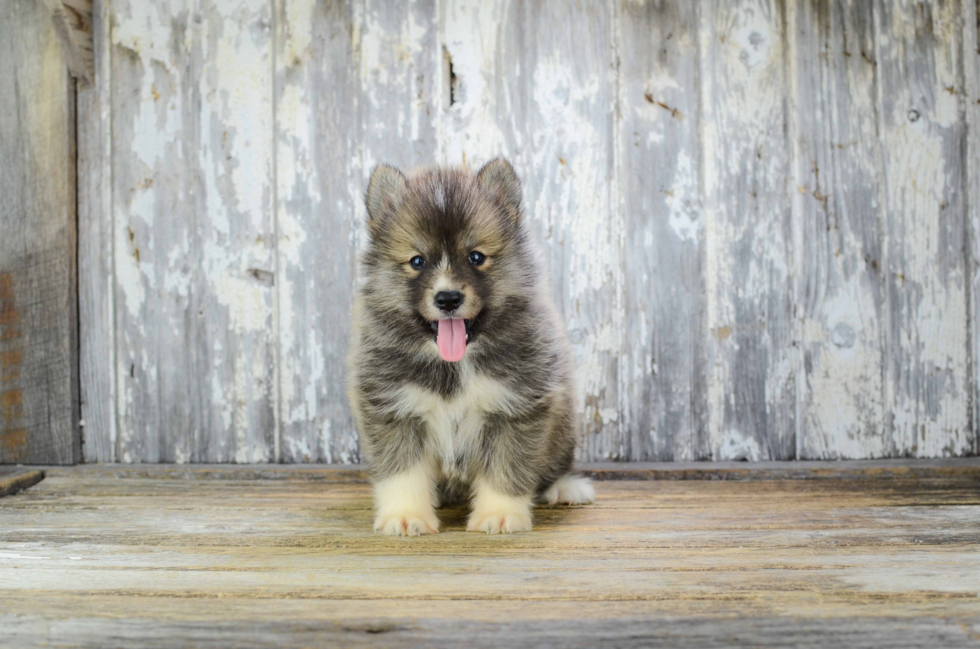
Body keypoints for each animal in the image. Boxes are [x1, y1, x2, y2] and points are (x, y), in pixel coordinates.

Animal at [350, 158, 596, 536]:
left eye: (476, 257)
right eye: (417, 261)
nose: (448, 298)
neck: (454, 364)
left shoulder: (516, 407)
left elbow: (506, 469)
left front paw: (500, 514)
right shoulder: (394, 408)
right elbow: (403, 470)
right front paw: (405, 515)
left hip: (564, 430)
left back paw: (565, 488)